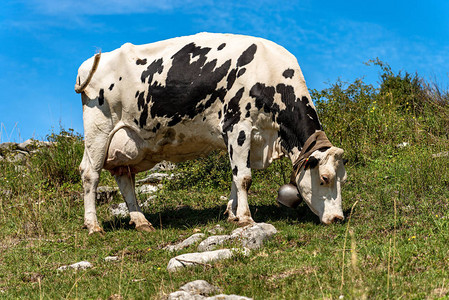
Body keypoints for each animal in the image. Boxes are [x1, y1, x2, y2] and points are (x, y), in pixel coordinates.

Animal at [74, 32, 346, 234]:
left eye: (342, 179)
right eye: (324, 178)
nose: (338, 219)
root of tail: (91, 63)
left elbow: (236, 176)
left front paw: (232, 214)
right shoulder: (237, 125)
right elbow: (244, 177)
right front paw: (246, 218)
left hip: (127, 141)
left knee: (124, 176)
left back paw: (141, 222)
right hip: (99, 129)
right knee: (90, 174)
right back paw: (93, 225)